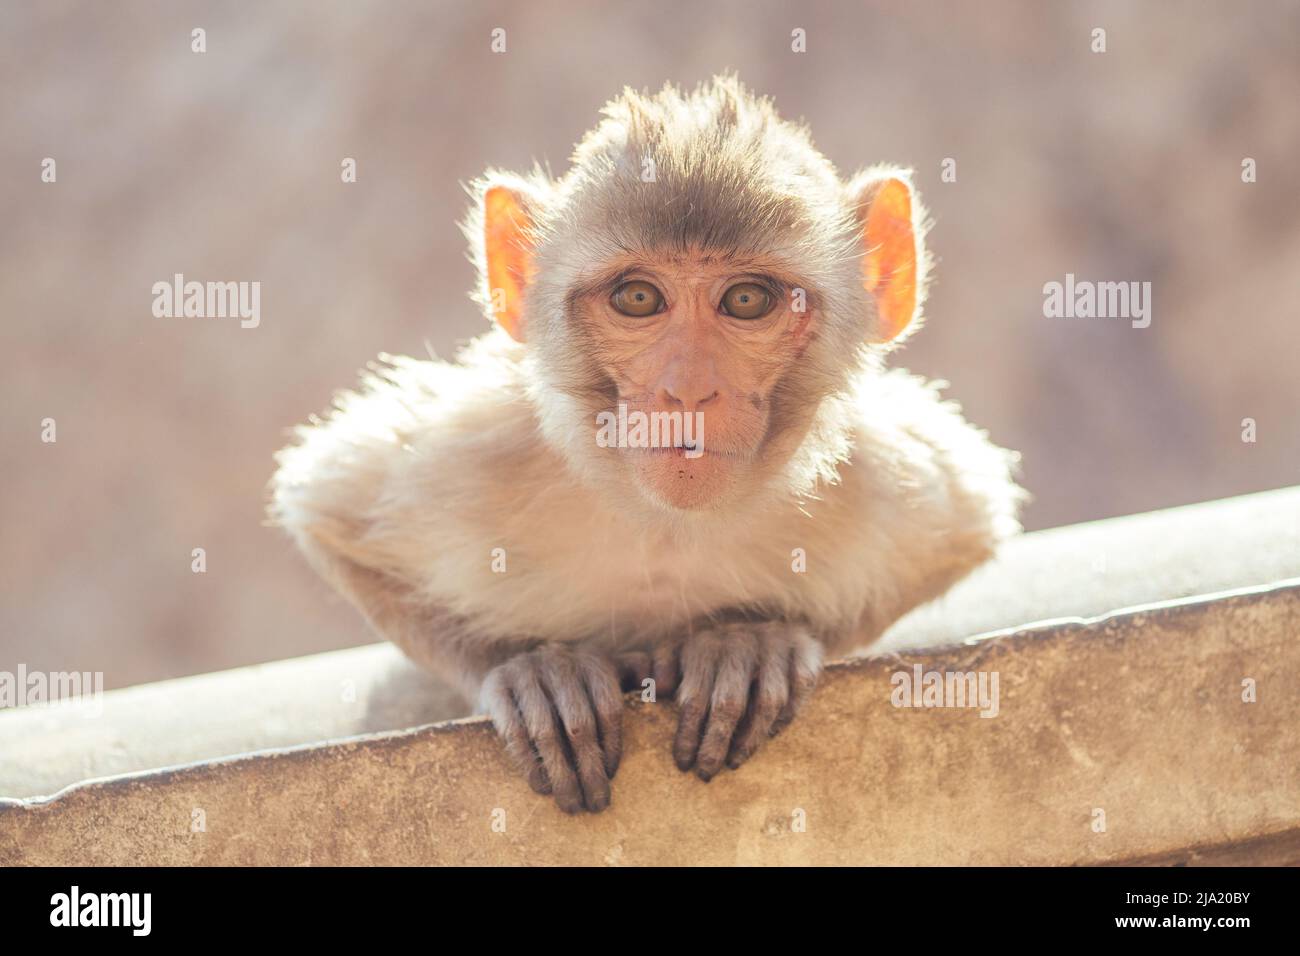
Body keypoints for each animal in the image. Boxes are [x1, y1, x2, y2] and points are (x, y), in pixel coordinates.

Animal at [269, 76, 1024, 816]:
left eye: (746, 301)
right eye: (638, 298)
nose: (687, 391)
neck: (667, 530)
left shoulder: (884, 479)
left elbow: (968, 526)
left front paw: (749, 642)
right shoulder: (471, 453)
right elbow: (329, 515)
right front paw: (536, 670)